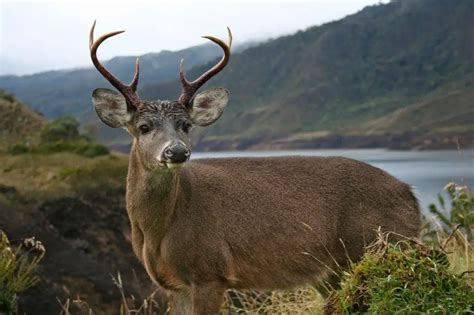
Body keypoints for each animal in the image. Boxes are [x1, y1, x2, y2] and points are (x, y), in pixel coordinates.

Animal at [90, 21, 422, 314]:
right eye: (143, 127)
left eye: (185, 125)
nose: (177, 151)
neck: (158, 230)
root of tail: (411, 196)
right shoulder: (174, 285)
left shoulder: (211, 271)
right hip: (333, 271)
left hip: (379, 244)